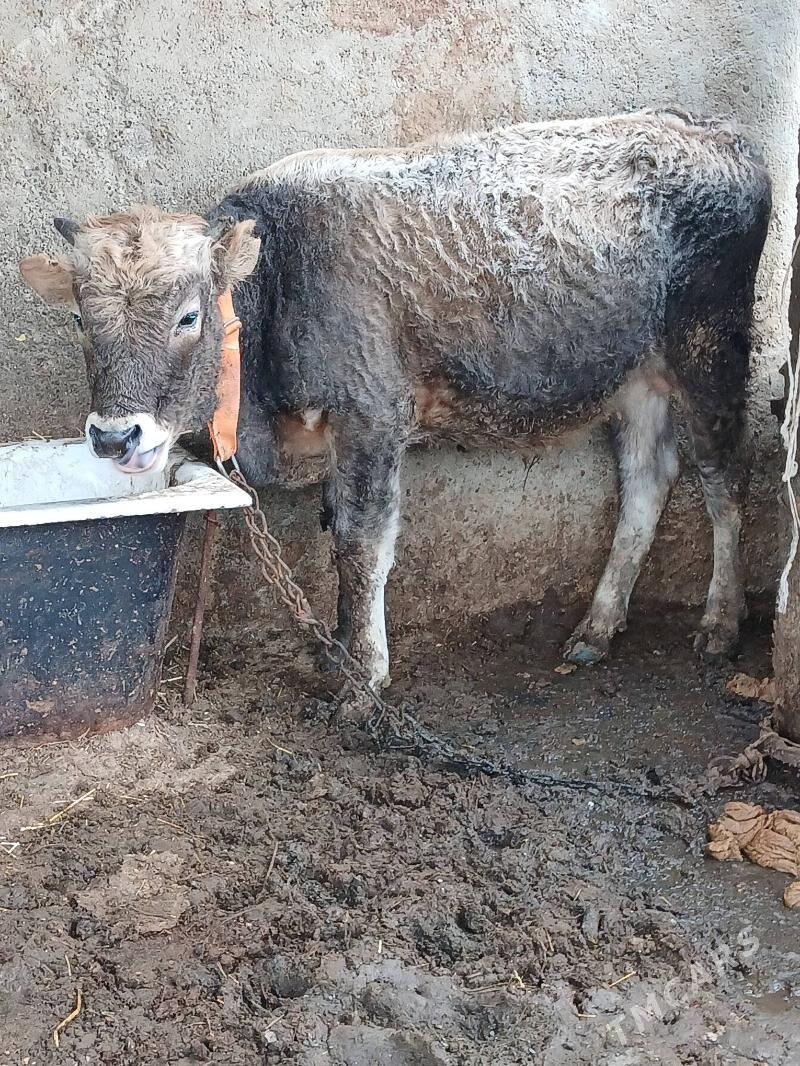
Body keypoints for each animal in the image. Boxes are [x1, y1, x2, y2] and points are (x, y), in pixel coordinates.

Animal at [19, 110, 771, 690]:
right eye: (81, 317)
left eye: (189, 316)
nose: (115, 436)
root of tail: (714, 132)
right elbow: (336, 540)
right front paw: (338, 655)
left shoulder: (373, 417)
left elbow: (362, 545)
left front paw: (364, 679)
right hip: (638, 376)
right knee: (648, 480)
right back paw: (599, 625)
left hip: (709, 347)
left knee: (724, 475)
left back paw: (719, 623)